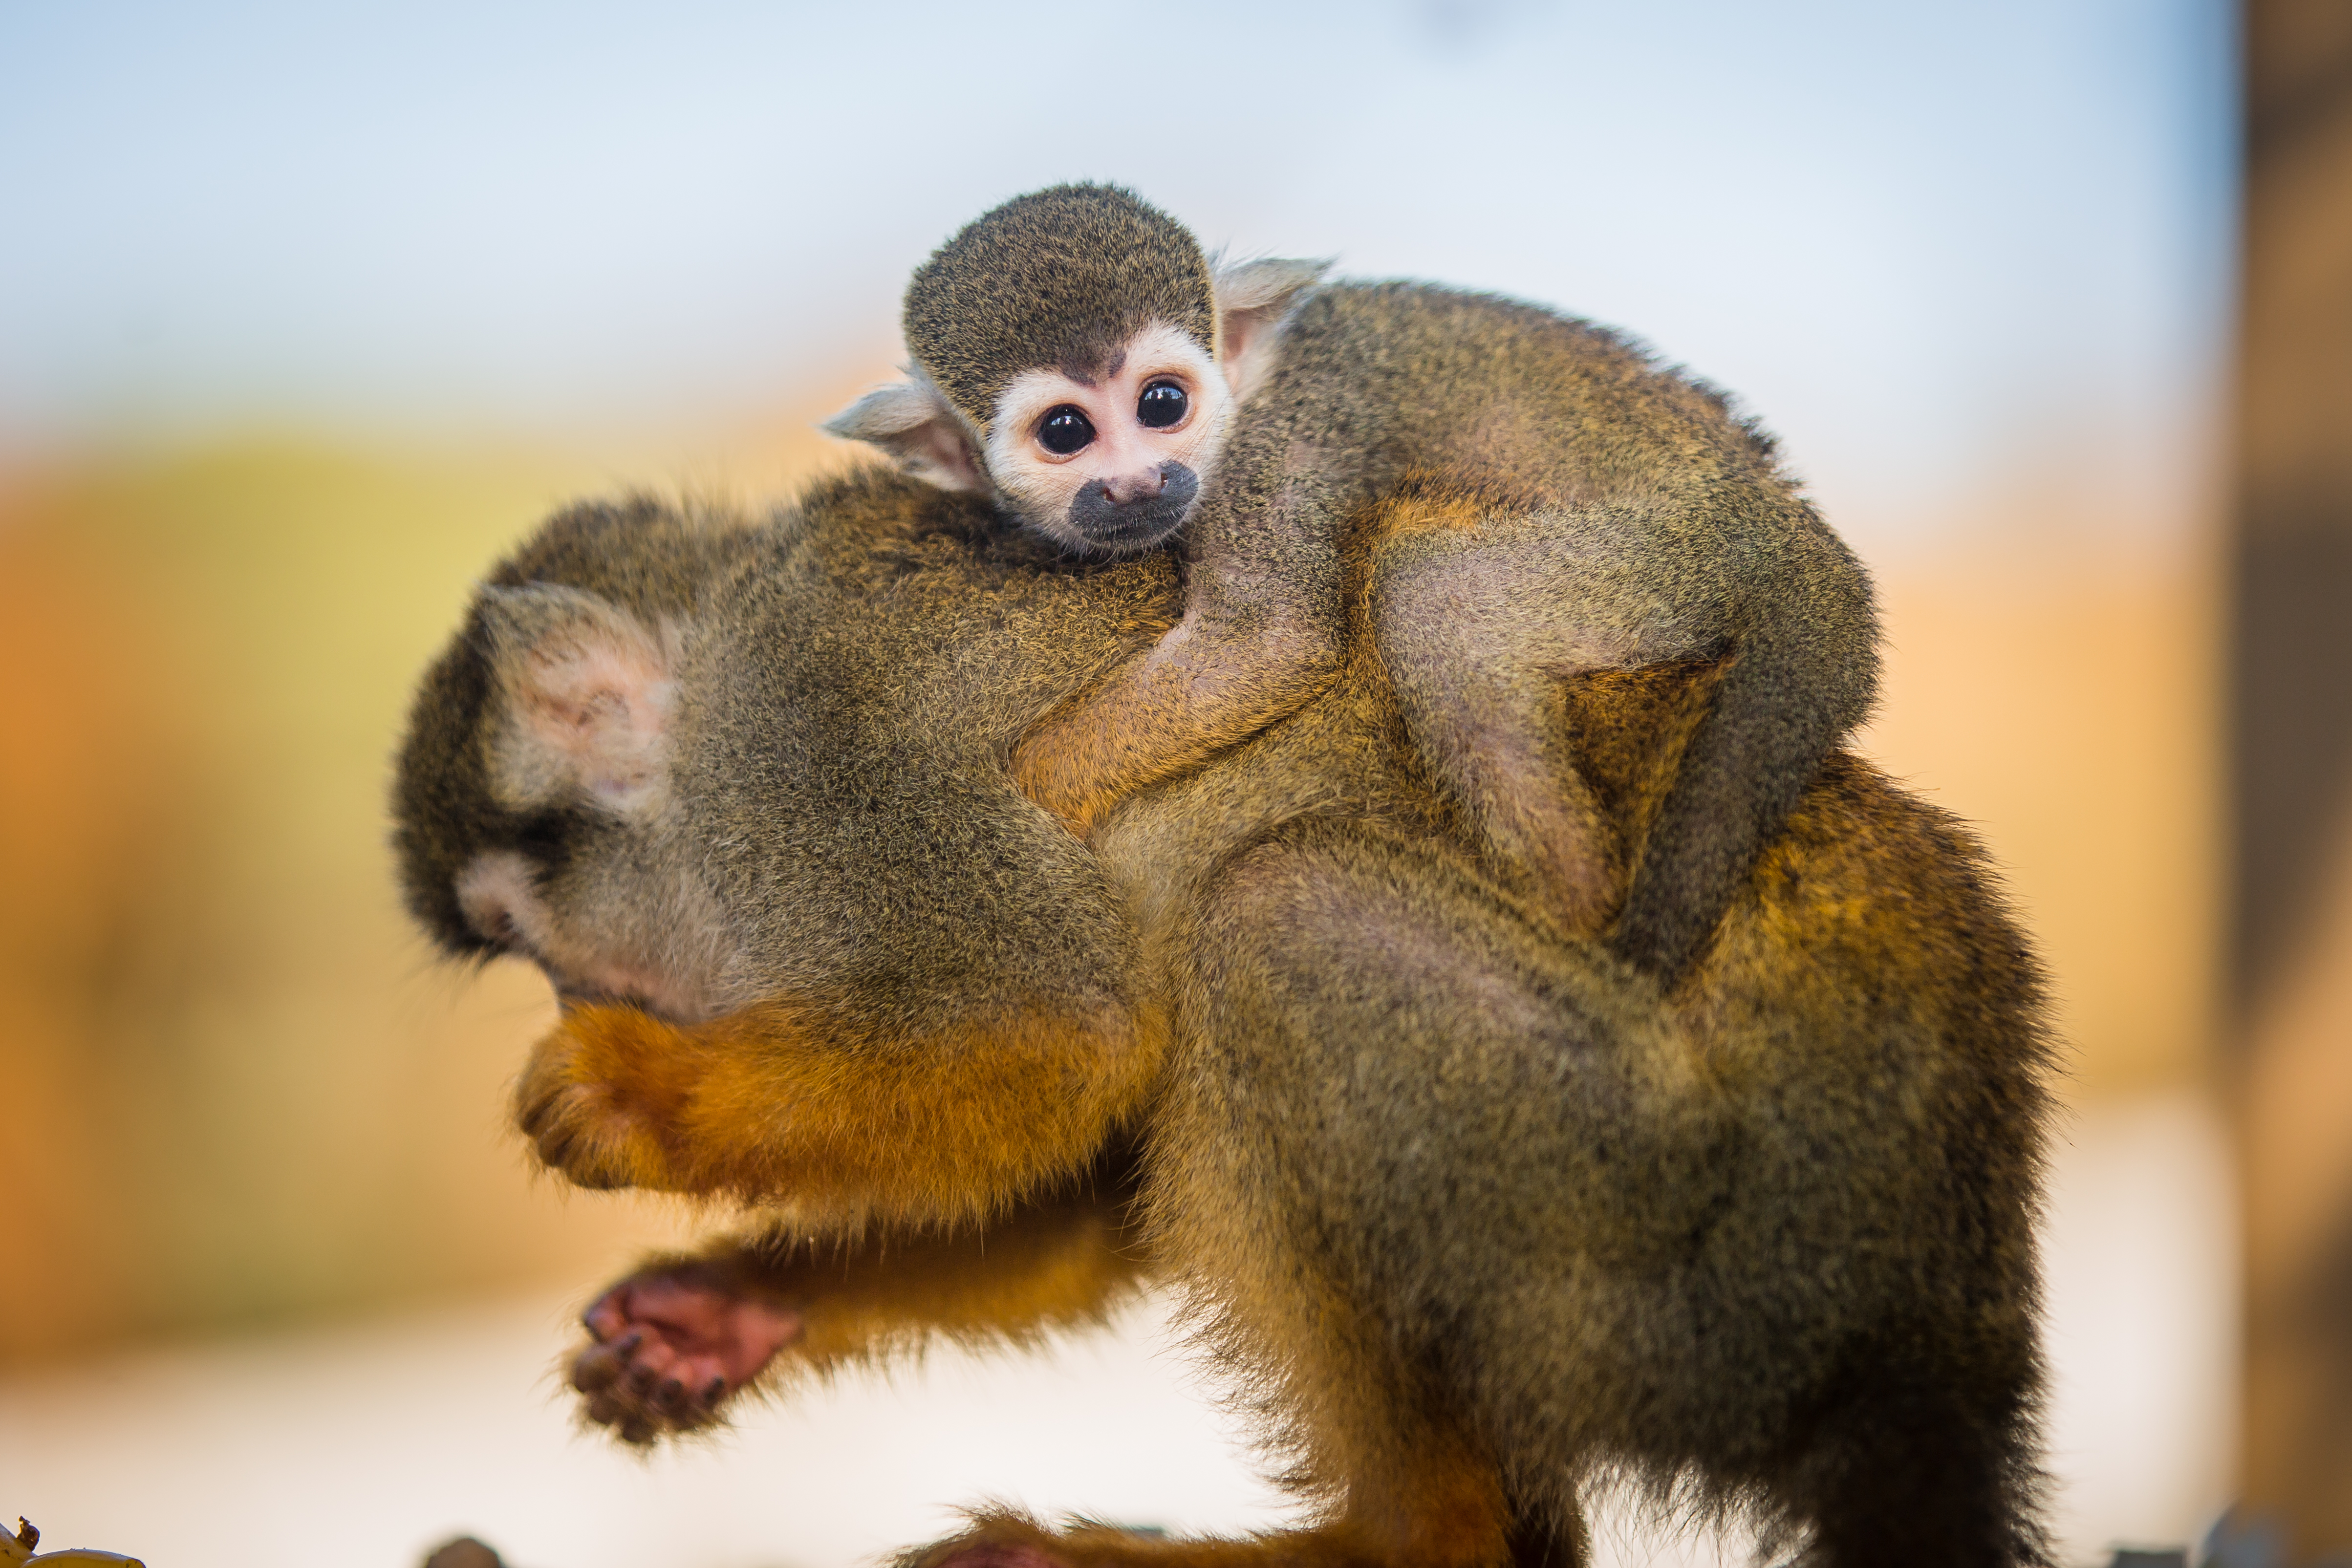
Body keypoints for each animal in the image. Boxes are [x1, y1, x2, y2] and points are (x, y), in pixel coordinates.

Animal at [395, 474, 2050, 1568]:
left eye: (528, 942)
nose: (585, 999)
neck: (710, 721)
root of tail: (1941, 1315)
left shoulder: (825, 771)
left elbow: (1068, 1025)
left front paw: (631, 1098)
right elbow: (1085, 1172)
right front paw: (728, 1308)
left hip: (1682, 1249)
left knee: (1267, 921)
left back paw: (1397, 1540)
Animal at [828, 184, 1872, 983]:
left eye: (1161, 403)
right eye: (1064, 432)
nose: (1137, 484)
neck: (1248, 390)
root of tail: (1777, 508)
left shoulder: (1272, 453)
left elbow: (1268, 641)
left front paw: (1037, 789)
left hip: (1671, 552)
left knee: (1433, 599)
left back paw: (1562, 896)